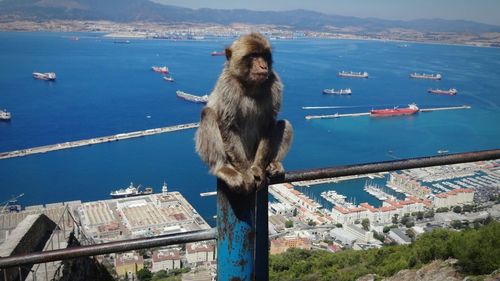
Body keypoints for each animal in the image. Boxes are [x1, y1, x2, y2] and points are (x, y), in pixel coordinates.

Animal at [193, 32, 292, 194]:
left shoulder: (274, 83)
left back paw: (273, 163)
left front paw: (257, 168)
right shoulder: (228, 85)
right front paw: (246, 173)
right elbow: (227, 125)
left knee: (284, 123)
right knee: (208, 114)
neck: (250, 85)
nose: (263, 66)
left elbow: (269, 124)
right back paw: (223, 168)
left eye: (264, 55)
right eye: (253, 56)